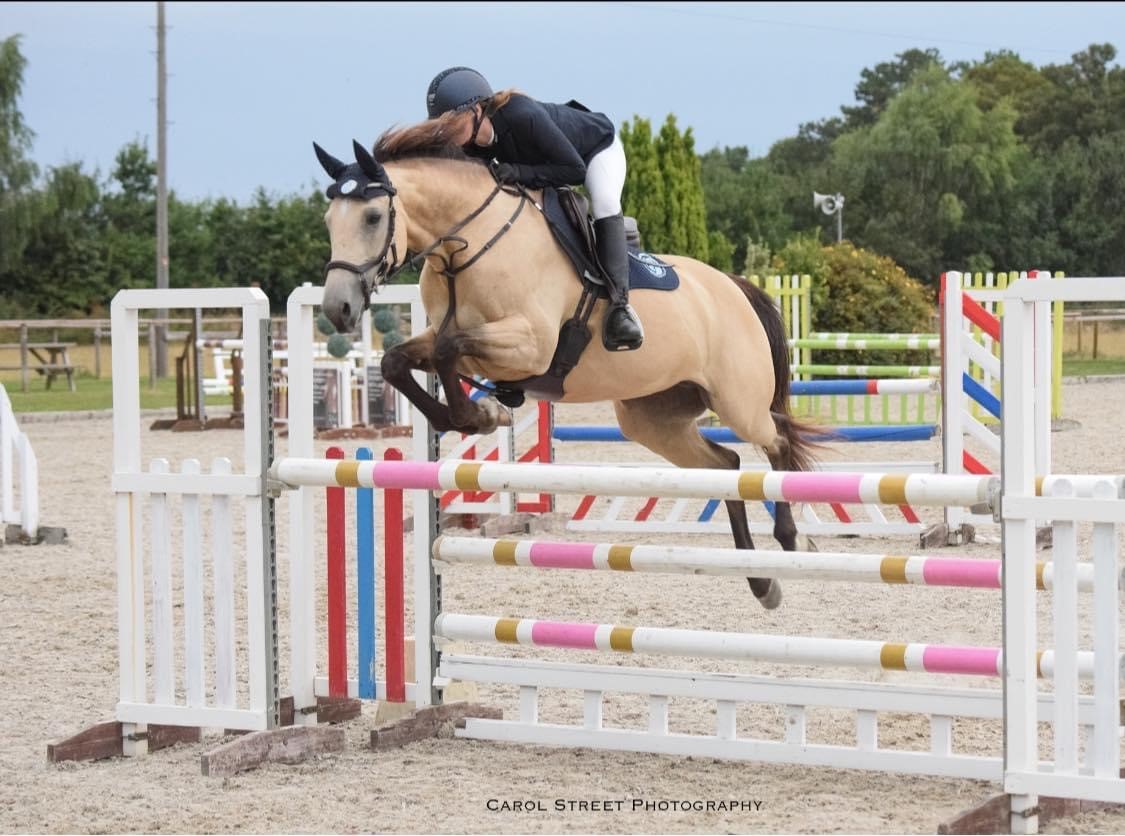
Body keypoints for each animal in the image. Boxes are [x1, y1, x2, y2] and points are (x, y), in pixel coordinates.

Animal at [313, 130, 818, 609]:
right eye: (328, 222)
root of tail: (734, 287)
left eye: (372, 217)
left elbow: (446, 351)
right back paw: (761, 582)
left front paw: (481, 415)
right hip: (652, 418)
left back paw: (792, 541)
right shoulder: (456, 335)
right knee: (727, 466)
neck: (468, 246)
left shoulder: (531, 346)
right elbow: (399, 360)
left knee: (775, 439)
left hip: (737, 403)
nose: (338, 309)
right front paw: (478, 415)